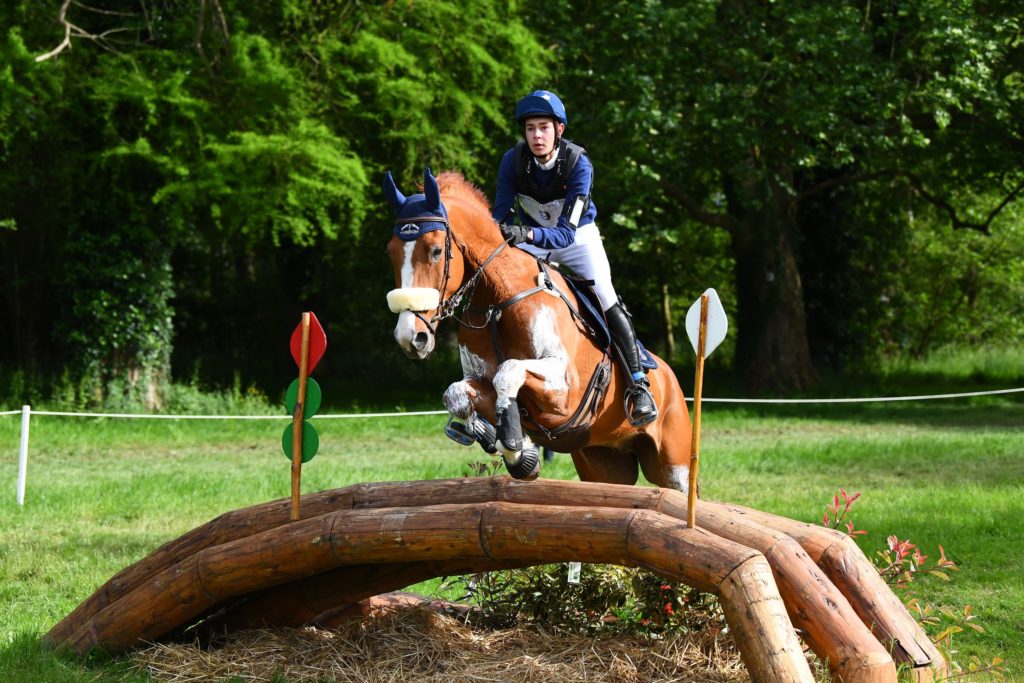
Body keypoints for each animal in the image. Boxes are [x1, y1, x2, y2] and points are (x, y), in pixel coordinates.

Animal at [385, 168, 696, 491]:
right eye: (390, 251)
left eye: (435, 251)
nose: (410, 338)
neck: (497, 302)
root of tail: (669, 376)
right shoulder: (477, 379)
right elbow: (458, 394)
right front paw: (519, 452)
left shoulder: (564, 391)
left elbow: (507, 370)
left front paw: (513, 442)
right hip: (603, 463)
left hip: (674, 465)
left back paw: (642, 399)